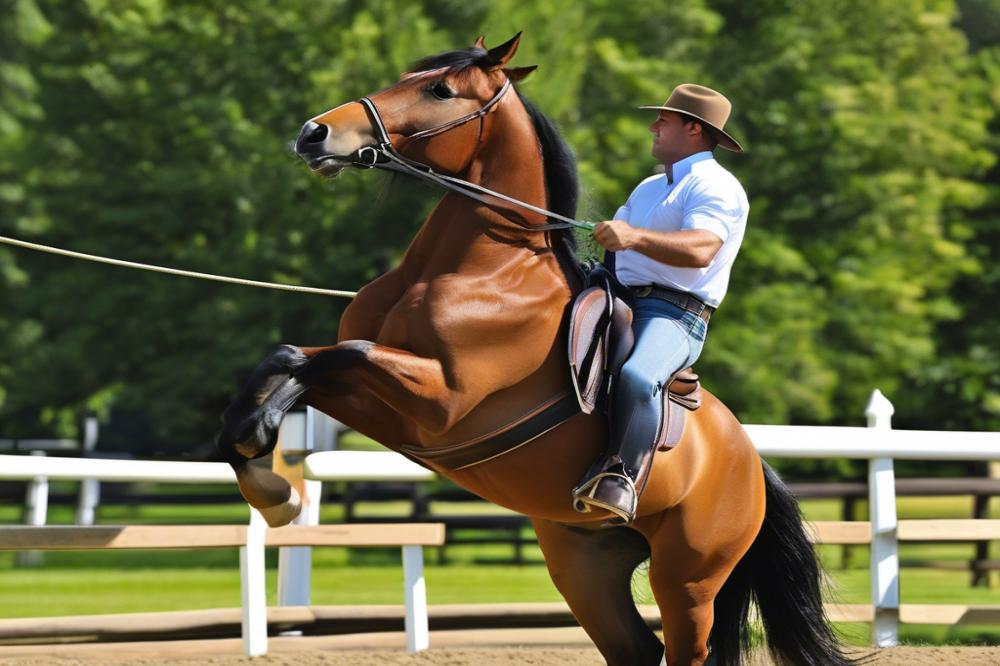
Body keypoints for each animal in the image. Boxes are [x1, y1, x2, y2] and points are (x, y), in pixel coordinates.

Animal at [217, 36, 852, 664]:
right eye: (405, 78)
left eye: (439, 90)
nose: (314, 133)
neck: (487, 270)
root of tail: (750, 461)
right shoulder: (388, 407)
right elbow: (289, 360)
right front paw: (267, 480)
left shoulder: (436, 403)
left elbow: (329, 356)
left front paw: (270, 476)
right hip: (584, 568)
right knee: (634, 648)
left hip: (688, 580)